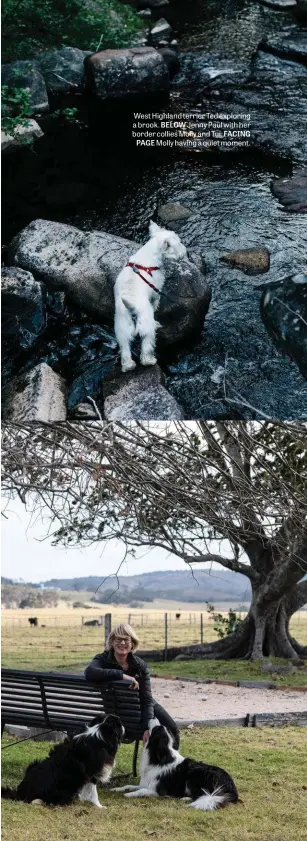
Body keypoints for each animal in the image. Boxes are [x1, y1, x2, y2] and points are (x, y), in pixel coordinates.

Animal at [113, 220, 188, 370]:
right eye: (178, 243)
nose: (185, 252)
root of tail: (131, 307)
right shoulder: (156, 287)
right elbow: (156, 299)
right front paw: (156, 306)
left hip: (122, 328)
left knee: (125, 348)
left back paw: (128, 366)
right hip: (145, 324)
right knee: (147, 344)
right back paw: (150, 360)